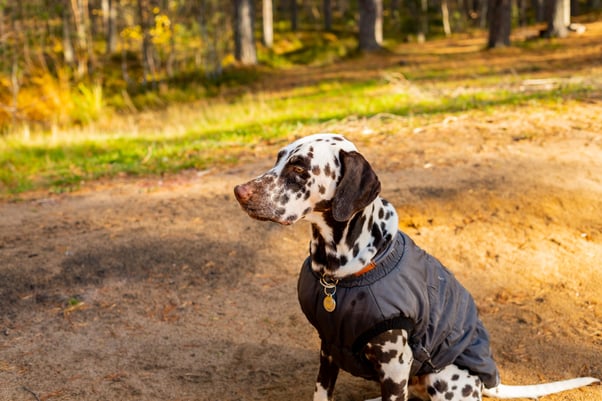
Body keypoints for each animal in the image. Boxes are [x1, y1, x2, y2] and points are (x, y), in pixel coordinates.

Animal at [233, 134, 596, 400]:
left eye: (299, 169)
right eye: (278, 158)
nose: (239, 191)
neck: (338, 277)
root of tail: (488, 383)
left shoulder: (395, 366)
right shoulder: (328, 352)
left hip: (442, 376)